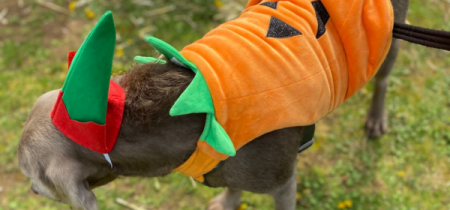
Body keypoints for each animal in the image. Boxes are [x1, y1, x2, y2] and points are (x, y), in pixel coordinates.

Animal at [19, 0, 410, 210]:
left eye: (31, 175)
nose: (31, 190)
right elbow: (232, 186)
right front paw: (227, 201)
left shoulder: (284, 182)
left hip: (389, 39)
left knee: (383, 79)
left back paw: (376, 120)